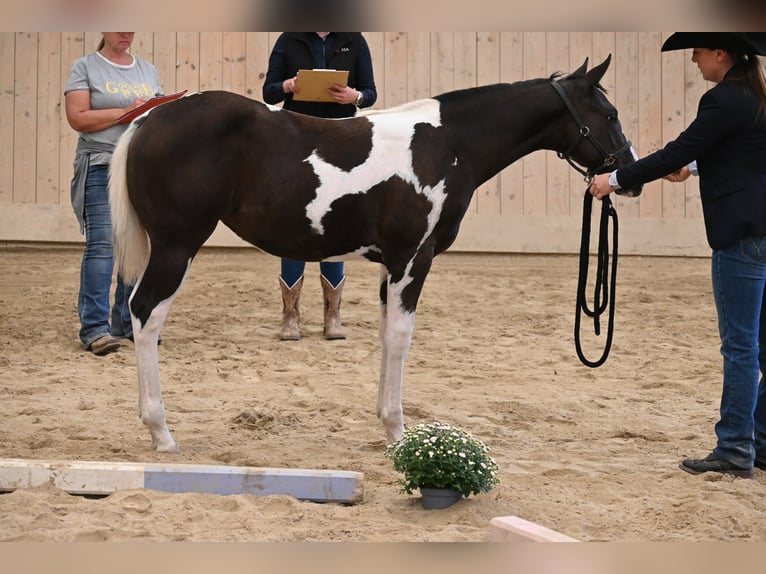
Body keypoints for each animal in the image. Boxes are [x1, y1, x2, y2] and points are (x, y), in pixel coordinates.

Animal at [109, 55, 642, 453]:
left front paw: (386, 426)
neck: (447, 143)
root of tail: (149, 118)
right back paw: (161, 432)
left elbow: (387, 335)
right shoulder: (414, 257)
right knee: (145, 314)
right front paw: (399, 432)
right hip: (178, 245)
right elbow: (402, 337)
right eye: (610, 116)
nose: (629, 173)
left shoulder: (391, 265)